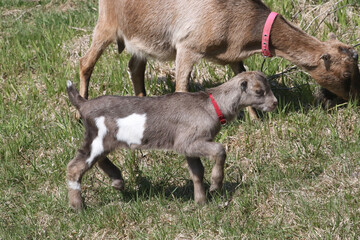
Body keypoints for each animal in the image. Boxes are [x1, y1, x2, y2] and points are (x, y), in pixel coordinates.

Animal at [66, 71, 278, 210]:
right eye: (259, 91)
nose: (274, 103)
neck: (210, 105)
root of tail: (83, 104)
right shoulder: (189, 141)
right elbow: (219, 150)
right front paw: (215, 186)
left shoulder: (189, 147)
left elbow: (197, 172)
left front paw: (201, 202)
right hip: (98, 138)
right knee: (75, 167)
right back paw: (79, 207)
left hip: (101, 141)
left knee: (97, 159)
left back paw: (117, 181)